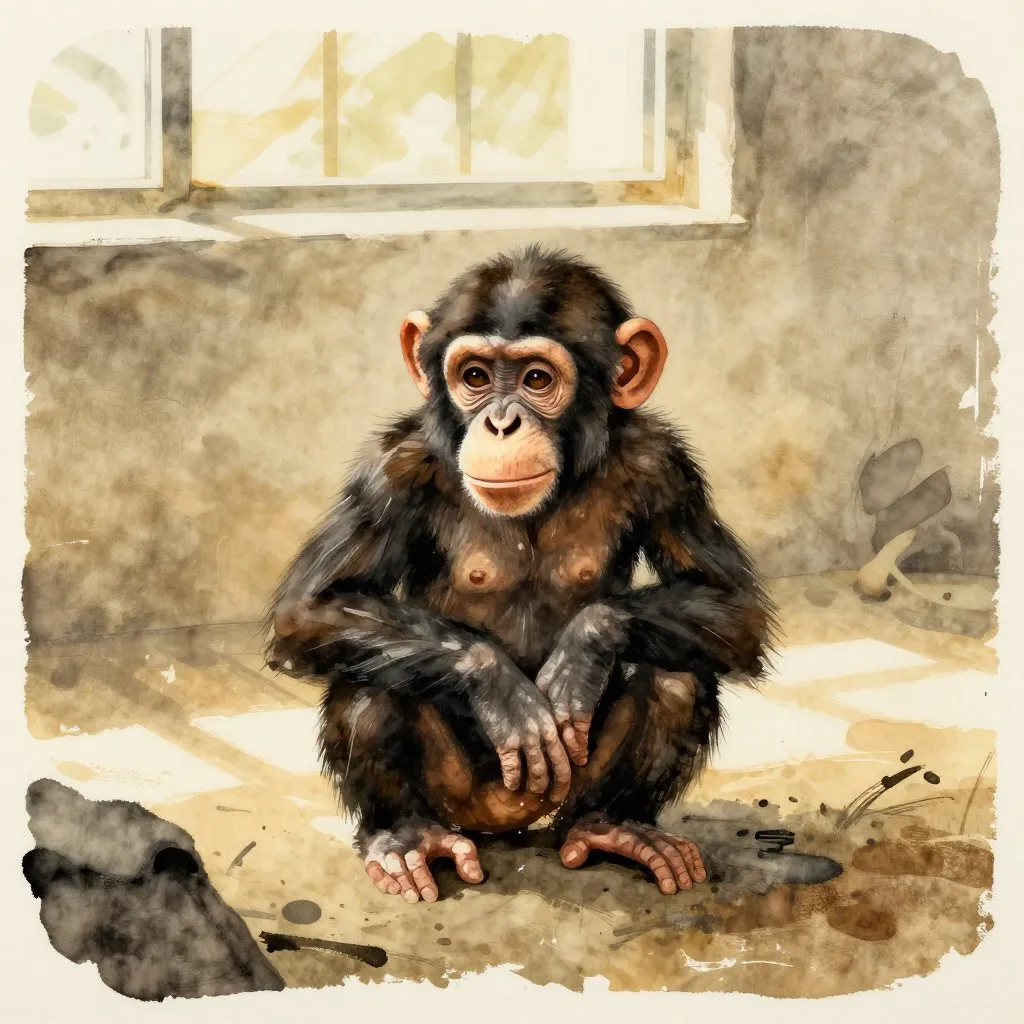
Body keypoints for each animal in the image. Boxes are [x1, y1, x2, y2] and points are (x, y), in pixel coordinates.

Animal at [266, 246, 776, 905]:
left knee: (676, 675)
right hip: (463, 798)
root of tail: (515, 822)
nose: (501, 423)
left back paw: (620, 826)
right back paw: (405, 839)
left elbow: (733, 603)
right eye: (476, 377)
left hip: (569, 792)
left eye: (537, 379)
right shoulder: (394, 468)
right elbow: (311, 606)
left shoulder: (664, 465)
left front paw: (584, 649)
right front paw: (499, 687)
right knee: (370, 681)